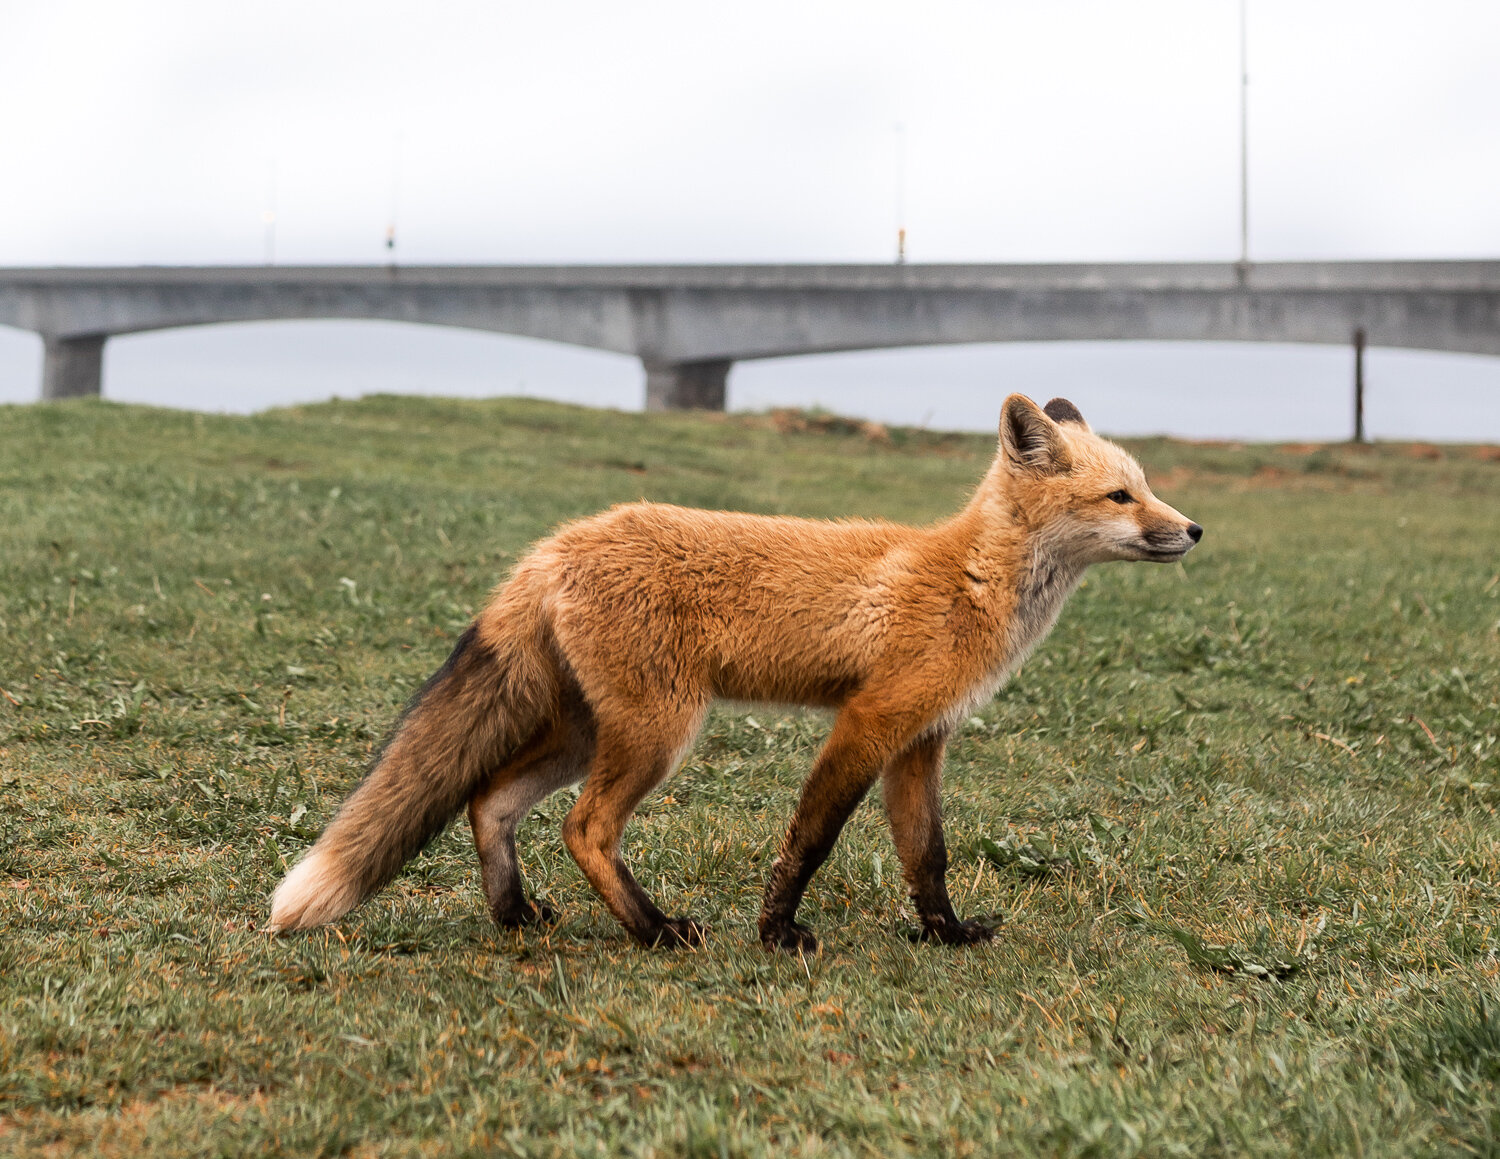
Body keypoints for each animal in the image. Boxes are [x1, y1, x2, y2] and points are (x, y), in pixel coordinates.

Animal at [270, 389, 1200, 947]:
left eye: (1147, 487)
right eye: (1121, 497)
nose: (1192, 530)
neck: (969, 579)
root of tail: (554, 545)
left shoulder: (921, 740)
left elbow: (926, 856)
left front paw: (945, 933)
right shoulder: (868, 722)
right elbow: (811, 838)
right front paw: (778, 932)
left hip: (585, 732)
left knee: (489, 801)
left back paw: (515, 915)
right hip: (659, 732)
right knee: (583, 827)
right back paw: (652, 930)